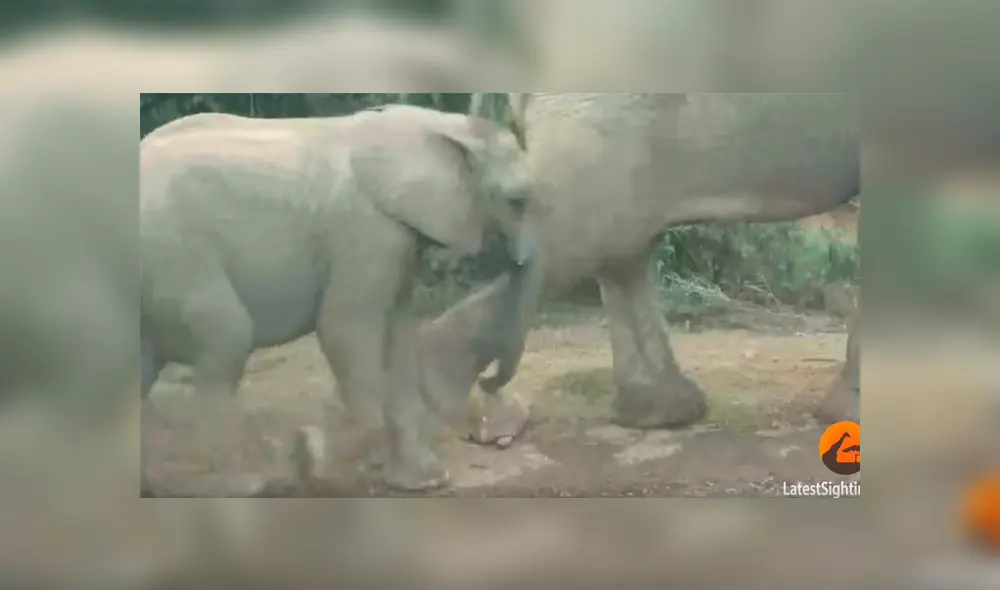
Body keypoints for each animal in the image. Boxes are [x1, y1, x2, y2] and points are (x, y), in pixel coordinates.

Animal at [139, 103, 541, 491]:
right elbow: (345, 328)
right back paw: (242, 488)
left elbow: (398, 332)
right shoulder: (364, 232)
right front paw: (337, 467)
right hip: (174, 254)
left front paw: (424, 482)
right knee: (227, 340)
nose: (487, 384)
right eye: (516, 202)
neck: (440, 126)